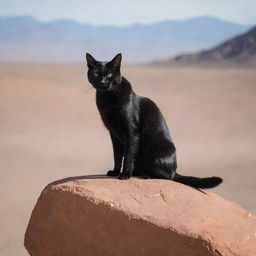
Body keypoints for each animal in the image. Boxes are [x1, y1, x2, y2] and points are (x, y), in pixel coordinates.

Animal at [85, 52, 222, 188]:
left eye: (109, 74)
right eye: (96, 74)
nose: (103, 82)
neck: (108, 97)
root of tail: (175, 169)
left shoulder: (132, 132)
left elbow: (128, 155)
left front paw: (125, 175)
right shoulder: (113, 133)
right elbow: (117, 155)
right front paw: (114, 172)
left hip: (158, 151)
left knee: (168, 176)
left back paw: (146, 174)